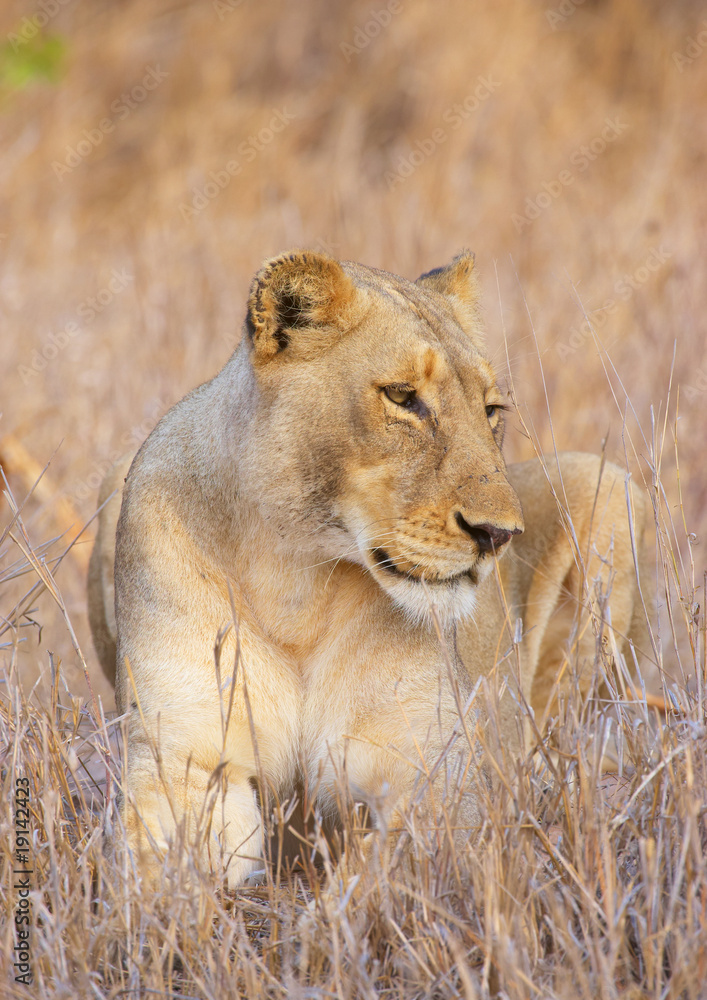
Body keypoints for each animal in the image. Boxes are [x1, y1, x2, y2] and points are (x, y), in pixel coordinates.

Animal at [88, 249, 652, 890]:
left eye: (491, 410)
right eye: (403, 398)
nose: (499, 535)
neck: (296, 580)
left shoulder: (439, 778)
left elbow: (375, 879)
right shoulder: (185, 760)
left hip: (606, 484)